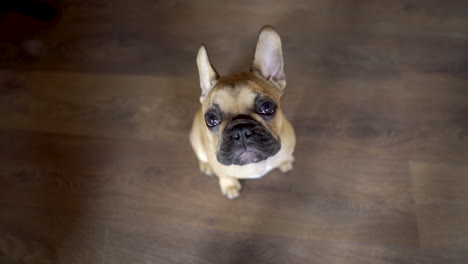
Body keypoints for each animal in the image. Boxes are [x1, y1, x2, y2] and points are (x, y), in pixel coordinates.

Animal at [188, 25, 294, 199]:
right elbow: (224, 175)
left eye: (267, 107)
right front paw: (229, 186)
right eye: (211, 119)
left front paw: (286, 161)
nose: (241, 131)